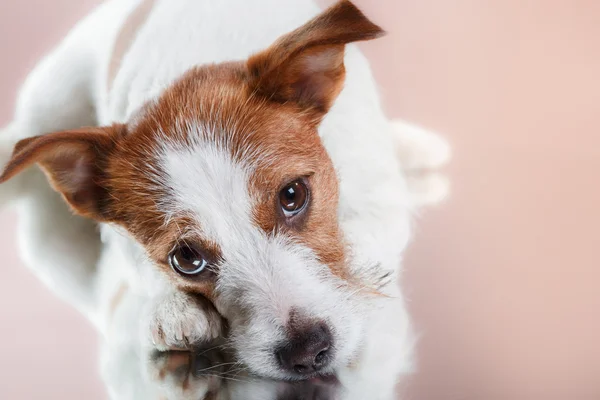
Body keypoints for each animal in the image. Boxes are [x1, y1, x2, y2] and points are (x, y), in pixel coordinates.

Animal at [0, 1, 448, 398]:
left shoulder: (378, 194)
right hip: (51, 103)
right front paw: (172, 307)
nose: (306, 353)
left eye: (293, 195)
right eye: (186, 258)